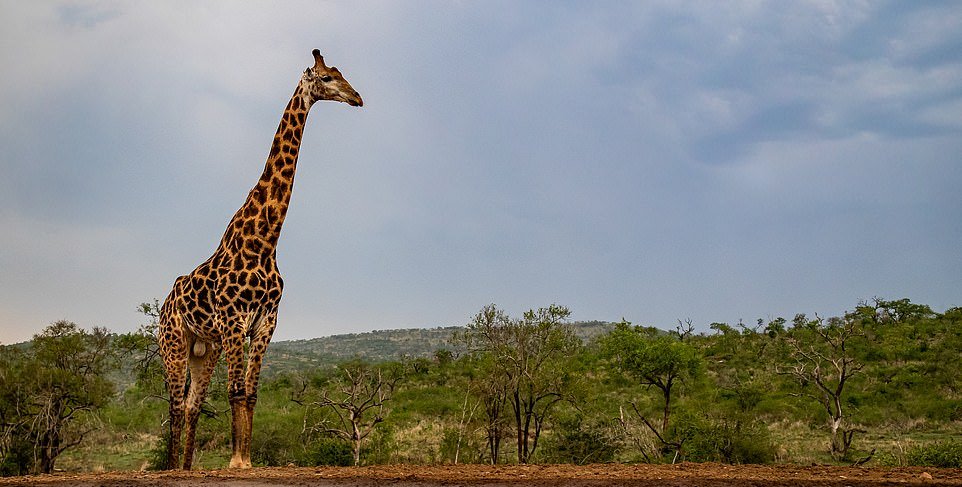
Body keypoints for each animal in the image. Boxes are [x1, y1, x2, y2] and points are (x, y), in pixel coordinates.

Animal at [158, 48, 360, 468]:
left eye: (342, 74)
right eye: (327, 78)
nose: (357, 98)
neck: (264, 242)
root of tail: (165, 303)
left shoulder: (266, 321)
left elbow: (250, 394)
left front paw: (246, 459)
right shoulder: (235, 319)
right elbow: (236, 391)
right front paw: (236, 462)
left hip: (206, 348)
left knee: (191, 404)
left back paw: (186, 466)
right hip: (174, 341)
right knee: (173, 405)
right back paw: (169, 468)